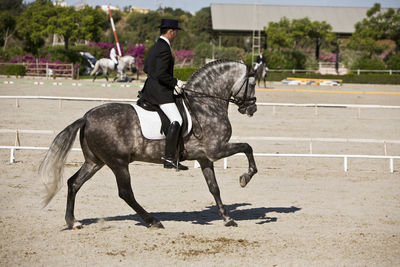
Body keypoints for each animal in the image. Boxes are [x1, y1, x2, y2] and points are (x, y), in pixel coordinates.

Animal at [40, 59, 258, 229]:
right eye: (253, 84)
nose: (252, 109)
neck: (206, 105)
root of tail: (86, 117)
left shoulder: (205, 157)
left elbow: (214, 188)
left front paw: (227, 218)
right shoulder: (216, 150)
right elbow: (247, 147)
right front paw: (245, 178)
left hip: (95, 162)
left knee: (74, 183)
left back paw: (73, 221)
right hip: (118, 163)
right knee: (125, 193)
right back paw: (153, 221)